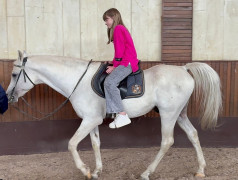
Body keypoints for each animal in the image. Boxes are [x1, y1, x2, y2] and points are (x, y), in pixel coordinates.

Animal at [6, 51, 222, 180]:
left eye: (15, 75)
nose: (9, 96)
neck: (78, 81)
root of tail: (183, 68)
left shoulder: (90, 120)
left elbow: (72, 144)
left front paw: (85, 170)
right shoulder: (92, 121)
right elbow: (95, 143)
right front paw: (96, 171)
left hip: (168, 114)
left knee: (167, 141)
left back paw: (147, 172)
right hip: (180, 114)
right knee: (193, 134)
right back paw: (201, 169)